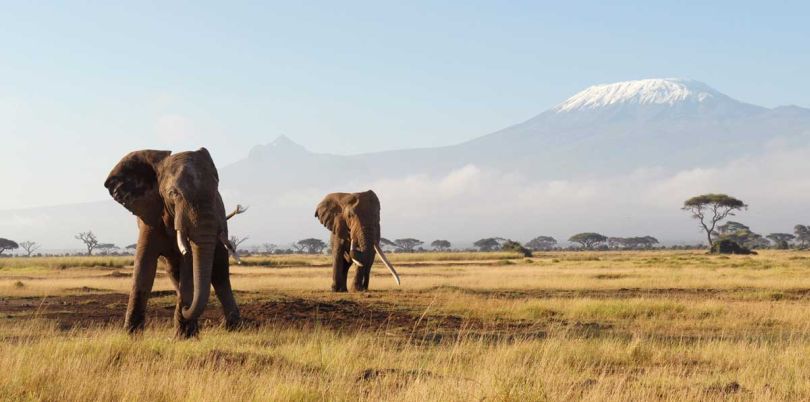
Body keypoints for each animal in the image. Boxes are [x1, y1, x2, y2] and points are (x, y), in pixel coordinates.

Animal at [104, 149, 245, 338]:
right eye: (173, 193)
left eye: (215, 193)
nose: (186, 307)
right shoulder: (150, 216)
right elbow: (144, 264)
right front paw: (131, 336)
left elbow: (189, 266)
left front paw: (184, 336)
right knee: (173, 272)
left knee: (219, 273)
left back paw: (233, 327)